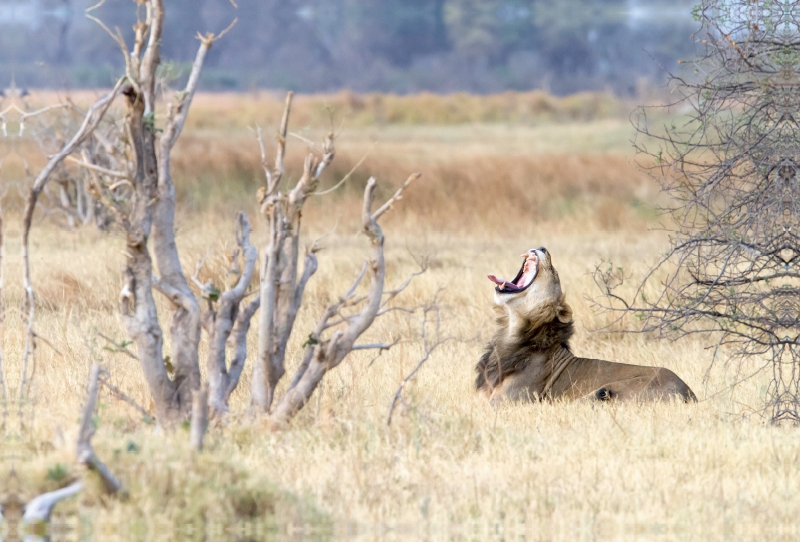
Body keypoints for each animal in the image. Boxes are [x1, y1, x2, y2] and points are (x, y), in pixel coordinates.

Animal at [476, 249, 692, 406]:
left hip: (603, 391)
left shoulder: (505, 402)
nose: (543, 248)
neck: (511, 331)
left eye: (554, 272)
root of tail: (690, 394)